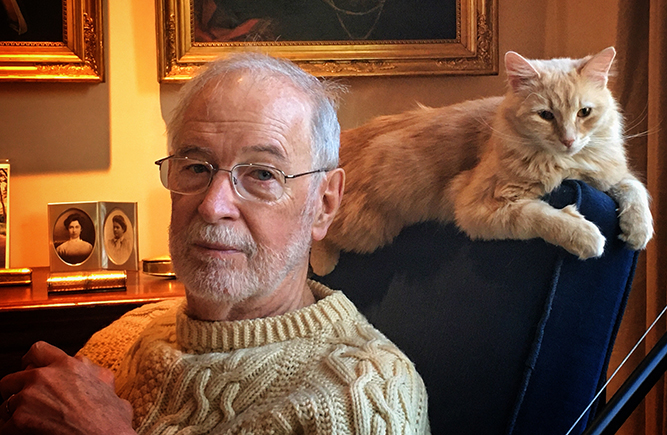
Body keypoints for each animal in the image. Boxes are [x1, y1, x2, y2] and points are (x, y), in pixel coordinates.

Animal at [312, 46, 652, 276]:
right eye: (545, 115)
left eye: (584, 112)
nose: (568, 140)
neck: (567, 165)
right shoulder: (476, 205)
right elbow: (541, 216)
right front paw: (584, 235)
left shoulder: (608, 173)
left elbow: (634, 188)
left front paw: (638, 230)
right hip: (366, 230)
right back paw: (321, 261)